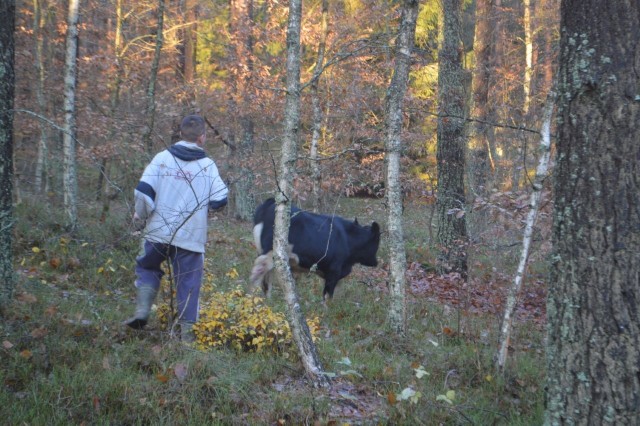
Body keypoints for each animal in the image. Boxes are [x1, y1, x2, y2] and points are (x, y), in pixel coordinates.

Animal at [250, 197, 380, 300]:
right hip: (270, 252)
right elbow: (328, 297)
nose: (376, 262)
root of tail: (270, 202)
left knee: (266, 280)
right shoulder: (334, 271)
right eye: (377, 241)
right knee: (258, 271)